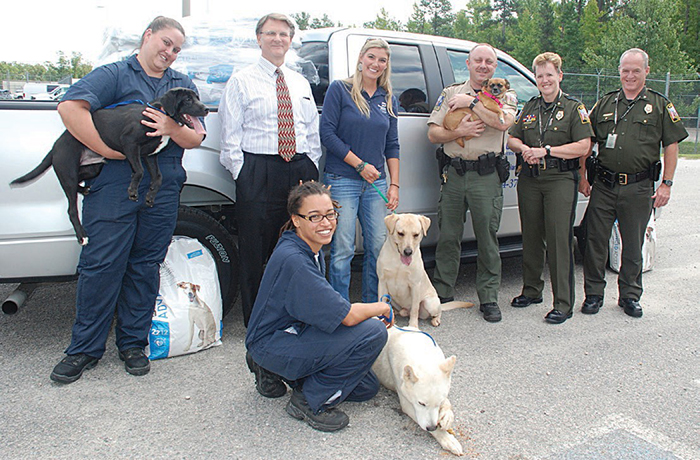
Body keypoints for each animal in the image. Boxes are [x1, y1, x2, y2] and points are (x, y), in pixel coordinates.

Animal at [10, 86, 208, 244]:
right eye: (188, 99)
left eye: (197, 97)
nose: (206, 109)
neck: (161, 113)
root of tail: (55, 146)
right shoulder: (129, 143)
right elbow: (139, 171)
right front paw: (133, 191)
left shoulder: (149, 155)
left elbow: (158, 177)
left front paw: (150, 196)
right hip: (68, 171)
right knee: (71, 209)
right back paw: (82, 236)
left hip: (92, 168)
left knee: (80, 182)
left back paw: (85, 190)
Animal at [372, 328, 464, 456]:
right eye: (421, 403)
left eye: (438, 403)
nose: (432, 428)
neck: (422, 356)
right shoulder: (407, 405)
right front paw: (447, 439)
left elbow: (447, 402)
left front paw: (447, 416)